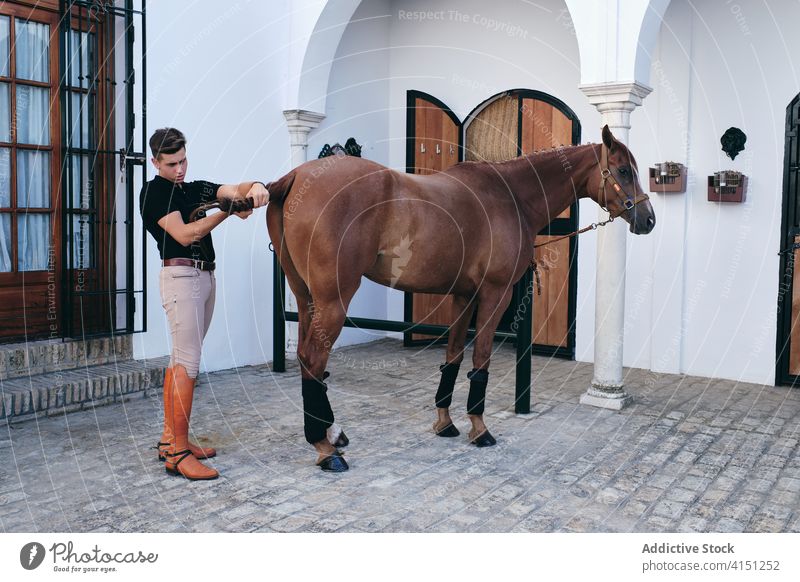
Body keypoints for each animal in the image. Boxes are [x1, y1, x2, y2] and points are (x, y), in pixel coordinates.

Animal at [258, 125, 656, 472]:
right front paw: (479, 429)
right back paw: (326, 450)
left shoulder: (463, 296)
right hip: (333, 300)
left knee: (308, 359)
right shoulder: (495, 293)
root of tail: (294, 178)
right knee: (313, 359)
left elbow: (452, 358)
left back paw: (330, 434)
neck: (510, 197)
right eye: (623, 170)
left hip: (306, 296)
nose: (648, 219)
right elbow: (480, 359)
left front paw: (445, 423)